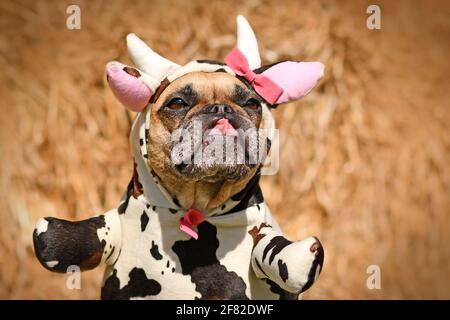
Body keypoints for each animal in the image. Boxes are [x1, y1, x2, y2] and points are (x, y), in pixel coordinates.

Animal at [33, 15, 326, 300]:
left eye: (252, 104)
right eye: (177, 103)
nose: (221, 109)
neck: (198, 208)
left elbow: (271, 246)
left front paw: (297, 257)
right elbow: (93, 232)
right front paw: (54, 237)